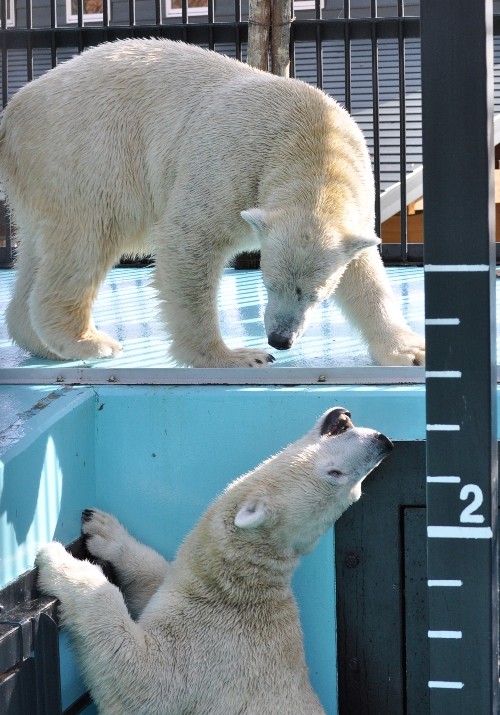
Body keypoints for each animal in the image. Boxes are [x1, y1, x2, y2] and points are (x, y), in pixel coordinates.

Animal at [0, 36, 426, 366]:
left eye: (316, 293)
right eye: (268, 282)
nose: (279, 339)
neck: (313, 141)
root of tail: (13, 113)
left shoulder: (354, 202)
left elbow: (363, 275)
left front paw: (410, 351)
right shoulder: (231, 167)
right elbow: (188, 241)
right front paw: (237, 356)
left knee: (39, 250)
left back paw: (41, 342)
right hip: (86, 151)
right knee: (86, 238)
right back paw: (88, 341)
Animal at [37, 408, 392, 715]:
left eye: (336, 474)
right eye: (353, 488)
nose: (383, 443)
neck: (232, 582)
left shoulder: (205, 646)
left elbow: (141, 680)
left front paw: (59, 562)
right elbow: (156, 577)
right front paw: (103, 530)